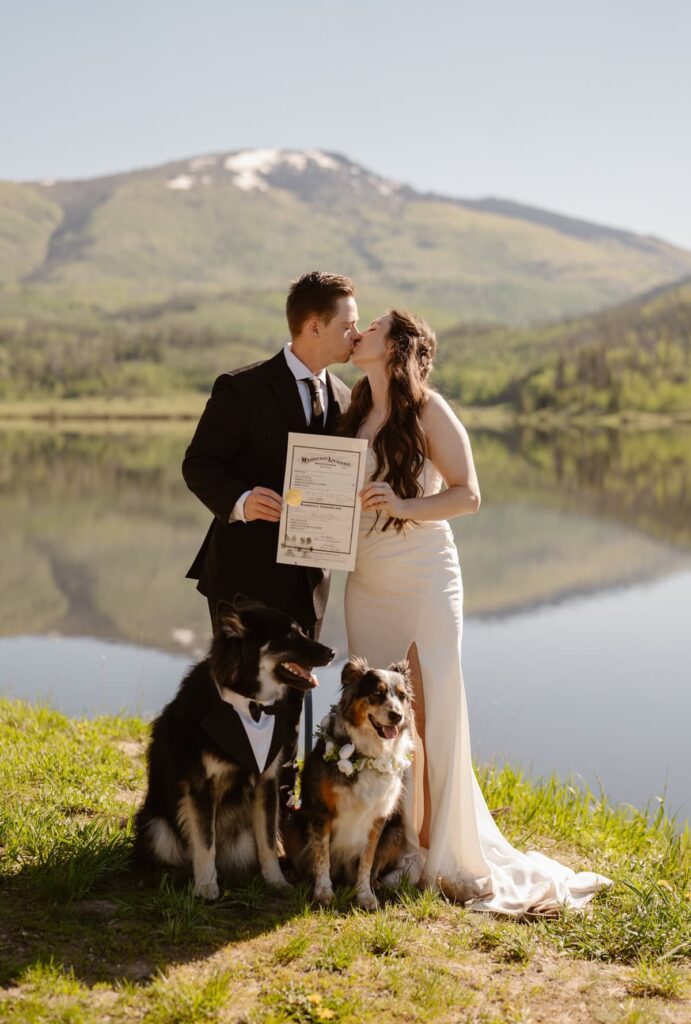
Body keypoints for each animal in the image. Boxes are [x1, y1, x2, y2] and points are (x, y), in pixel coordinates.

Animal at [135, 598, 335, 901]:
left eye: (302, 630)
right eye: (289, 636)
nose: (333, 652)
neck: (248, 704)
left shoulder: (266, 783)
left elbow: (267, 842)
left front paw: (276, 881)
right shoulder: (201, 787)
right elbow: (205, 843)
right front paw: (206, 887)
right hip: (155, 826)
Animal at [284, 655, 413, 913]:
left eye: (402, 696)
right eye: (377, 692)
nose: (397, 716)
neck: (368, 754)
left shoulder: (378, 817)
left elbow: (367, 860)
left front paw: (365, 895)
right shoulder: (321, 812)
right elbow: (321, 856)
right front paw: (323, 892)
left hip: (396, 831)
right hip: (292, 820)